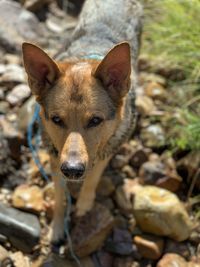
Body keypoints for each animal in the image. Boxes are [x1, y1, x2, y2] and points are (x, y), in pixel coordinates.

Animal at [21, 0, 142, 247]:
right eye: (57, 119)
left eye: (95, 120)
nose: (72, 170)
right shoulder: (56, 160)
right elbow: (59, 198)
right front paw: (58, 227)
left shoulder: (105, 152)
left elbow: (94, 177)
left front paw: (85, 203)